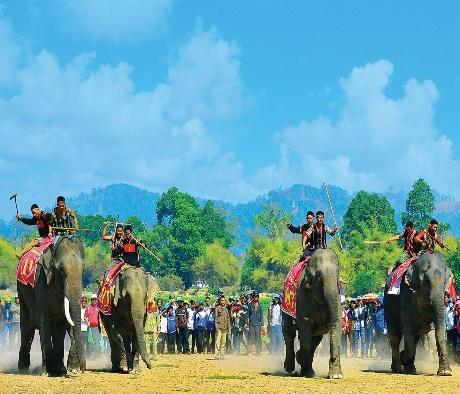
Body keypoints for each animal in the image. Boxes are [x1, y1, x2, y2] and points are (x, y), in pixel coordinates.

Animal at [17, 237, 86, 376]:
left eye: (83, 269)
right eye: (61, 269)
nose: (83, 368)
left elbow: (65, 323)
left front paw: (68, 370)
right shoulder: (40, 280)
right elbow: (43, 321)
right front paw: (46, 372)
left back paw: (60, 369)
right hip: (22, 294)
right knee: (27, 328)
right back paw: (22, 369)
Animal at [282, 249, 344, 378]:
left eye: (337, 274)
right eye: (319, 277)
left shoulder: (337, 297)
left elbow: (336, 323)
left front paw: (336, 375)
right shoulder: (302, 295)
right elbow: (305, 323)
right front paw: (300, 356)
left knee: (315, 338)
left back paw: (308, 372)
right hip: (285, 304)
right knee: (289, 332)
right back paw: (290, 368)